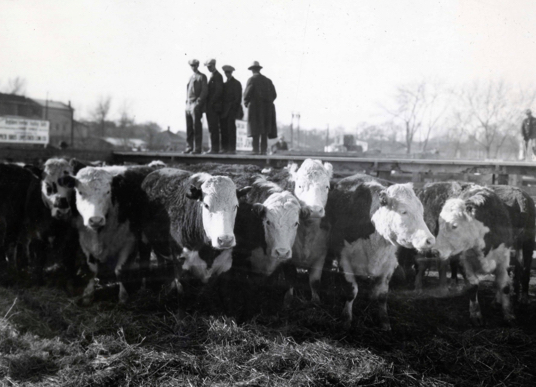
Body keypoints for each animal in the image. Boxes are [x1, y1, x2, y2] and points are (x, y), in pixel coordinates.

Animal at [326, 179, 436, 330]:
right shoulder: (344, 258)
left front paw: (384, 320)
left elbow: (383, 295)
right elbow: (351, 291)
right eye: (403, 211)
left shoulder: (390, 264)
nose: (430, 240)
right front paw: (346, 318)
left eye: (421, 211)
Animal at [432, 186, 516, 326]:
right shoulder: (464, 260)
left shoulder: (504, 259)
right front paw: (475, 314)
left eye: (454, 225)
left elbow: (504, 286)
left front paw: (508, 314)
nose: (435, 251)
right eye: (439, 224)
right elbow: (473, 285)